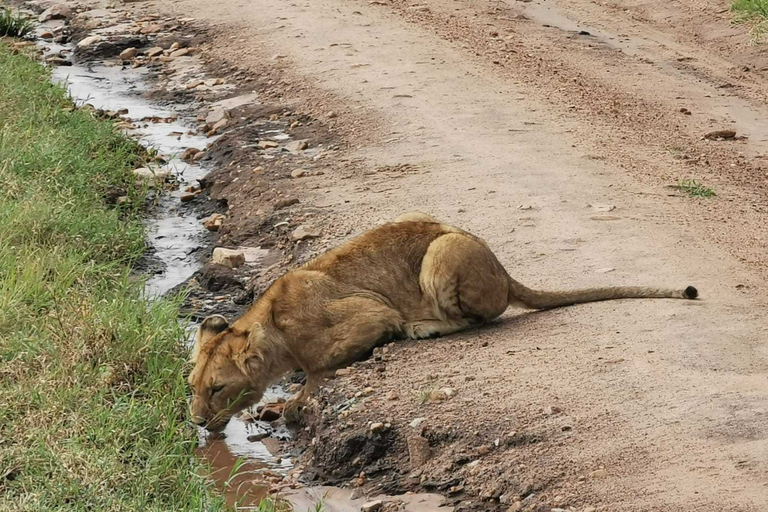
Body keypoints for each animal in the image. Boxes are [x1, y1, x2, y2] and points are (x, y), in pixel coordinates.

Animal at [189, 210, 700, 430]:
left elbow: (319, 370)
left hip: (442, 252)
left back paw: (425, 327)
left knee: (480, 320)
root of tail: (503, 270)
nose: (194, 422)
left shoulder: (373, 313)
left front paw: (294, 403)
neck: (273, 325)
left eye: (218, 388)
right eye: (192, 386)